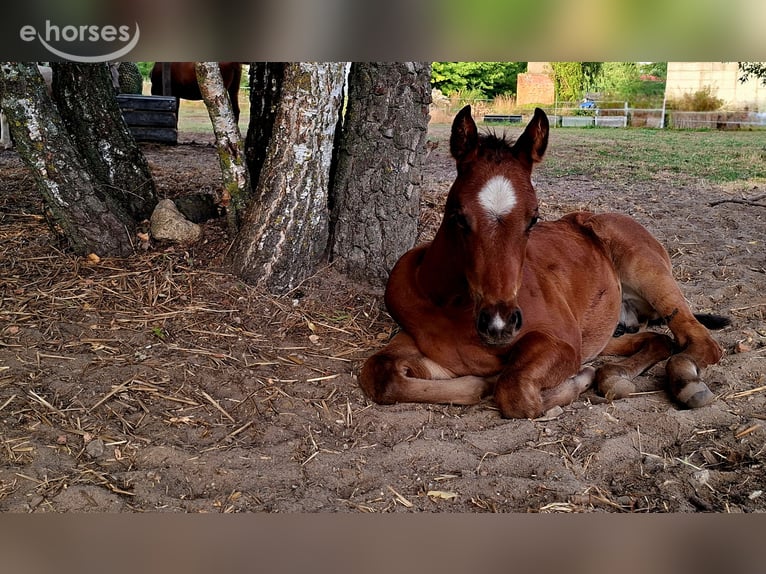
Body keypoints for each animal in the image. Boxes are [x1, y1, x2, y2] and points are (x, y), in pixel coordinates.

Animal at [360, 105, 729, 419]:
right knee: (656, 340)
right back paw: (614, 376)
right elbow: (380, 373)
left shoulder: (562, 341)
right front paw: (479, 383)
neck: (451, 304)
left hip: (650, 273)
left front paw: (575, 380)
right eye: (458, 216)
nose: (499, 324)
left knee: (699, 341)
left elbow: (516, 391)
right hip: (607, 329)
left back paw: (685, 382)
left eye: (534, 218)